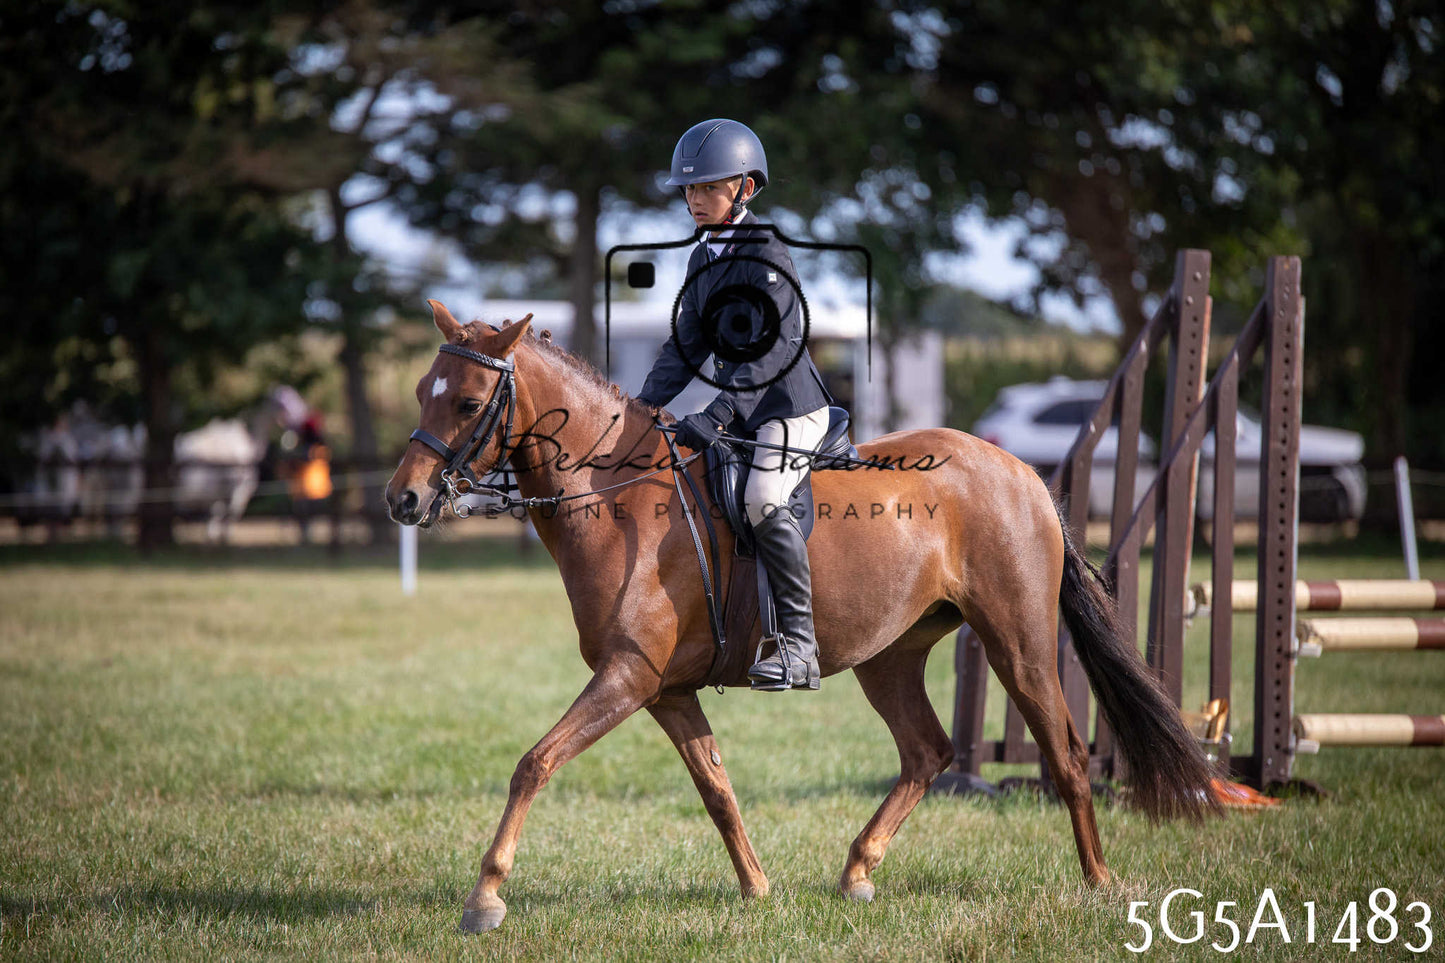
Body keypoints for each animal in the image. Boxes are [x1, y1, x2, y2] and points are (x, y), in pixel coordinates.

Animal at [385, 300, 1217, 933]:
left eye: (466, 402)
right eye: (422, 390)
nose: (403, 499)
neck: (618, 501)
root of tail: (1024, 475)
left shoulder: (627, 676)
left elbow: (535, 761)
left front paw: (485, 894)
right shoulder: (665, 690)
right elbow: (716, 788)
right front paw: (756, 887)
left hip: (1018, 642)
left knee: (1067, 756)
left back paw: (1099, 881)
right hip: (889, 655)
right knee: (925, 750)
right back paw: (857, 870)